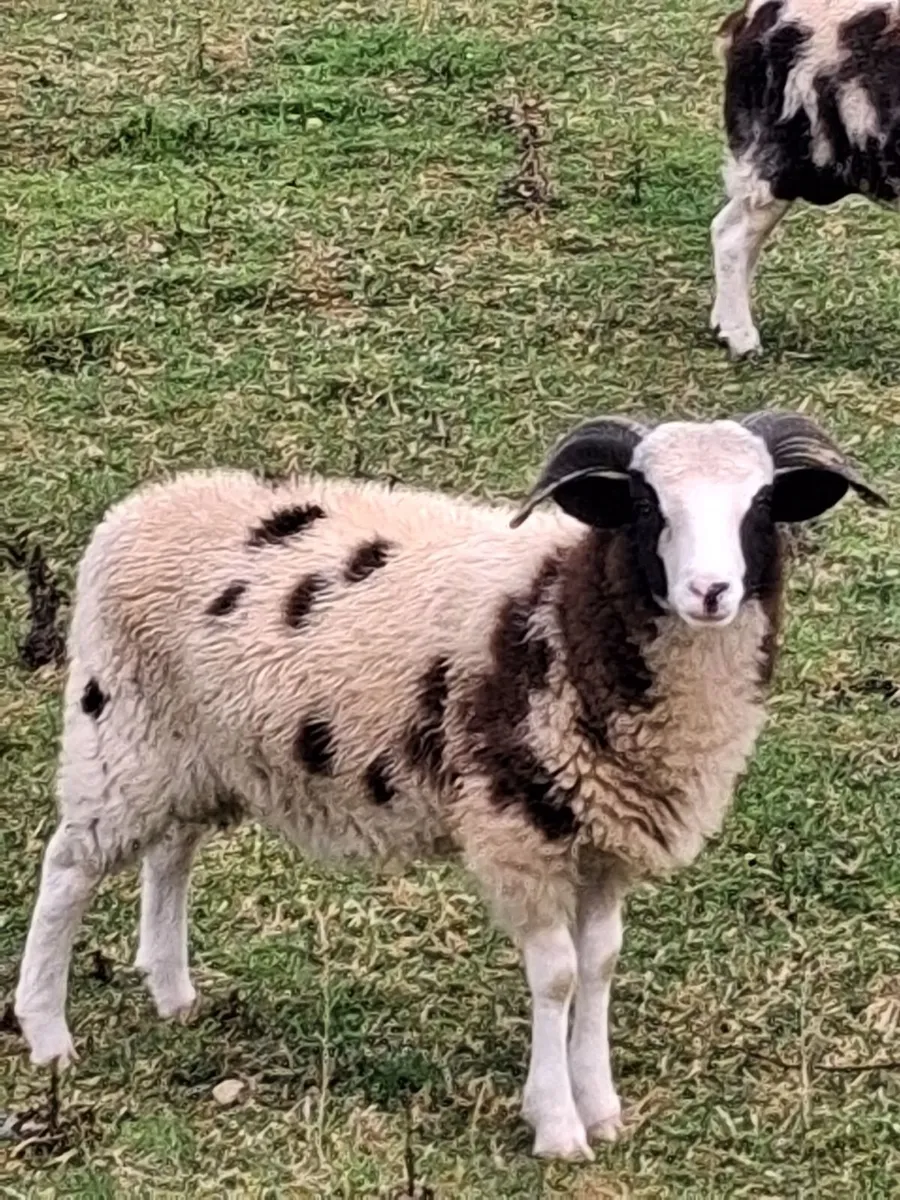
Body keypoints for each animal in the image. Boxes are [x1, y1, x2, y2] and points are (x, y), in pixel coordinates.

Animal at [14, 412, 885, 1160]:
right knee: (67, 869)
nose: (710, 593)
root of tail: (138, 509)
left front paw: (601, 1106)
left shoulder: (602, 837)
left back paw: (173, 993)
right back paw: (47, 1032)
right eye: (645, 501)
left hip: (195, 749)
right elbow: (558, 974)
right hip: (119, 737)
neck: (567, 604)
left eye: (763, 503)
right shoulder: (518, 824)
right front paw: (556, 1126)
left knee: (173, 850)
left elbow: (602, 961)